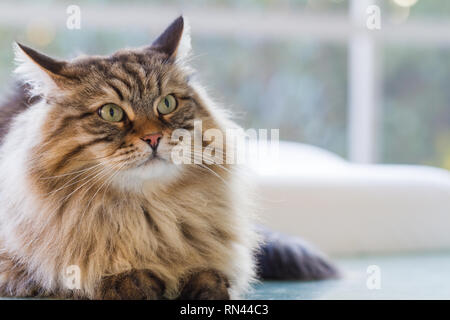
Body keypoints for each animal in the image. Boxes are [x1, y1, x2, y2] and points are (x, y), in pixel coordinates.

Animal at [0, 15, 336, 300]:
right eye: (111, 112)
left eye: (167, 104)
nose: (153, 138)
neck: (148, 216)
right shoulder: (16, 264)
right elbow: (81, 278)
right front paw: (132, 282)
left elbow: (209, 275)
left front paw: (199, 287)